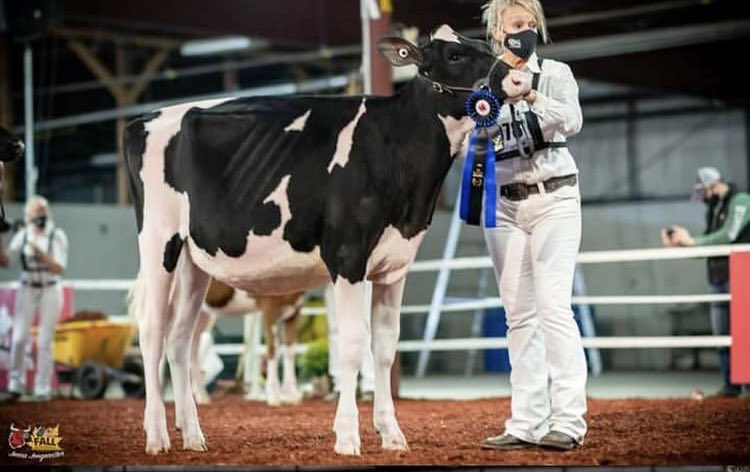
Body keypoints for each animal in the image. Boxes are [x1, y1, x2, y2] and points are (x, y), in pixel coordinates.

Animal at [125, 24, 530, 456]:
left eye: (485, 45)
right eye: (454, 55)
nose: (520, 79)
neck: (396, 146)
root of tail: (143, 119)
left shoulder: (394, 265)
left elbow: (385, 348)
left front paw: (391, 434)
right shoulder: (347, 256)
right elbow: (352, 345)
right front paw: (348, 436)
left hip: (193, 261)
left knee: (180, 337)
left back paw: (193, 435)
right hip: (159, 242)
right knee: (152, 330)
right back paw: (157, 436)